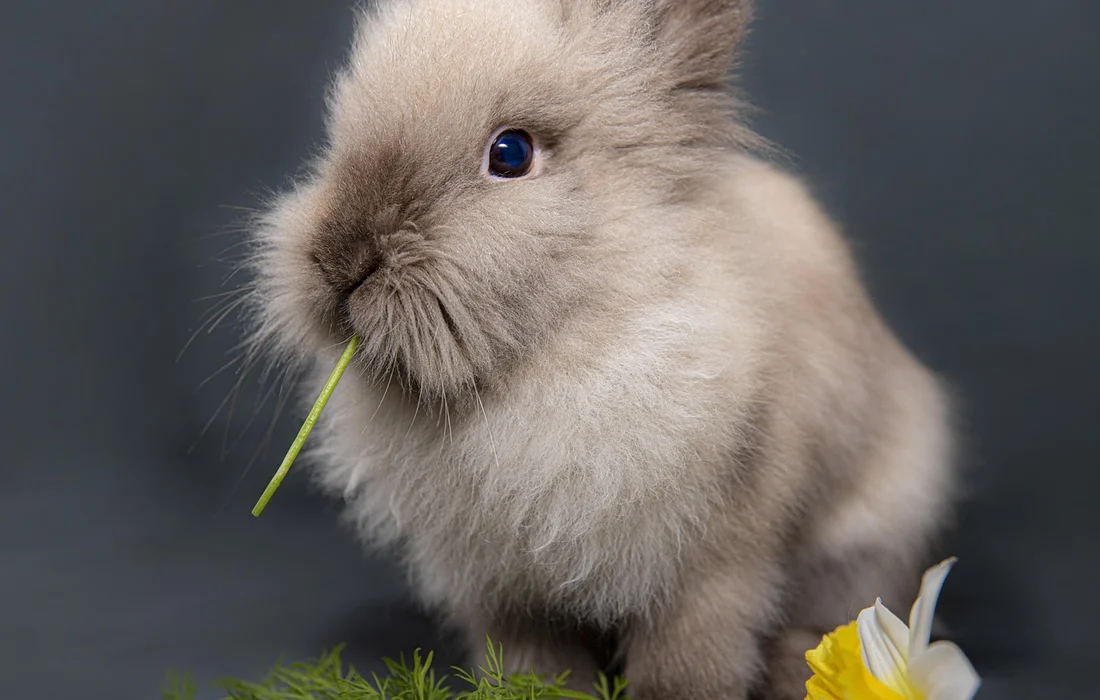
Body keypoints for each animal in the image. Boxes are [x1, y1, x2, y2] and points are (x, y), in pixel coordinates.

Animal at [242, 0, 960, 697]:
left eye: (510, 154)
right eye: (339, 135)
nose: (342, 259)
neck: (542, 362)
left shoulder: (709, 566)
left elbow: (688, 659)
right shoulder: (506, 585)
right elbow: (532, 657)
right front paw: (537, 691)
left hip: (859, 544)